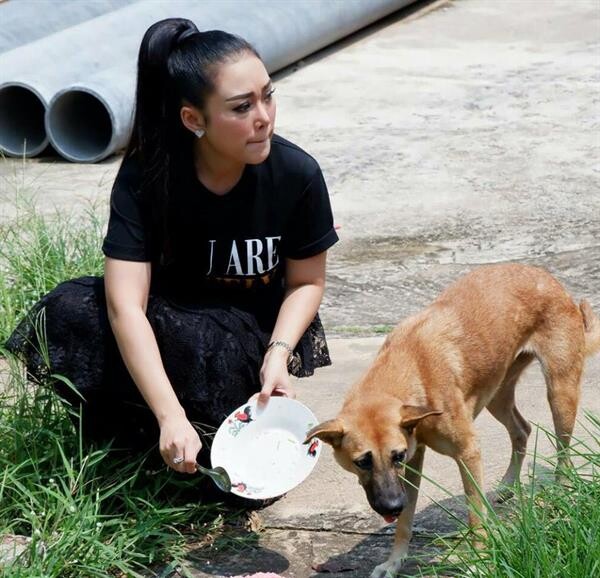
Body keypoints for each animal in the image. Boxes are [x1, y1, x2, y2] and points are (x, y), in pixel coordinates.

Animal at [308, 264, 596, 572]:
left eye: (397, 456)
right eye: (362, 461)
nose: (392, 506)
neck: (410, 368)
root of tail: (548, 277)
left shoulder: (466, 452)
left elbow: (474, 516)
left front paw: (480, 562)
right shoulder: (414, 460)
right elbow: (406, 521)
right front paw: (394, 562)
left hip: (560, 392)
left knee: (562, 452)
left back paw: (561, 494)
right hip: (497, 393)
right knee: (522, 429)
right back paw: (507, 486)